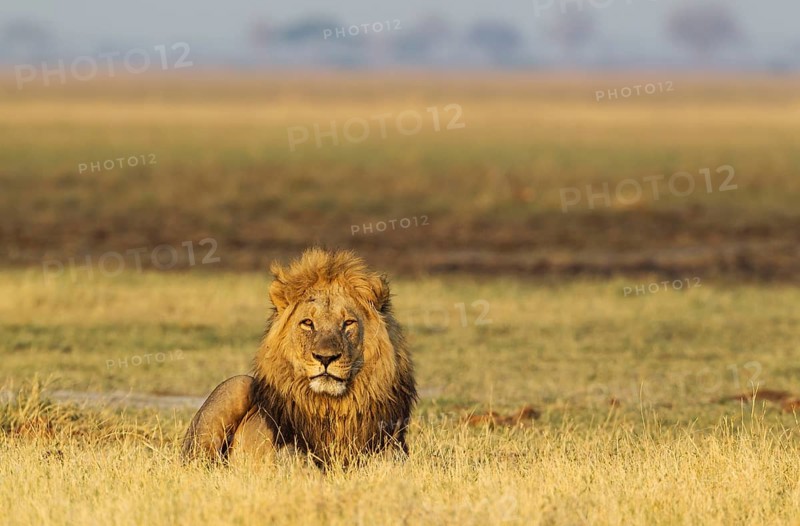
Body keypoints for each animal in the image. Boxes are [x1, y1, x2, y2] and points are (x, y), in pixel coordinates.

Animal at [181, 248, 417, 466]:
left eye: (348, 323)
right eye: (308, 323)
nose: (325, 358)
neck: (333, 407)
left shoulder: (390, 446)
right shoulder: (290, 448)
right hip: (237, 385)